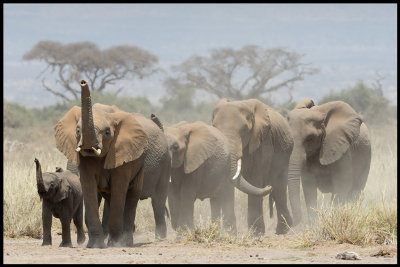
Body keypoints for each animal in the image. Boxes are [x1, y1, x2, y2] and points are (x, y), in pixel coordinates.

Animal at [55, 80, 148, 249]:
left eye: (107, 133)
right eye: (77, 131)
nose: (83, 82)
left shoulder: (121, 155)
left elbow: (119, 187)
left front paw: (116, 244)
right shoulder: (83, 160)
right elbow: (88, 187)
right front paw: (94, 245)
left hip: (140, 164)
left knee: (131, 195)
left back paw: (125, 243)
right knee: (111, 198)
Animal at [212, 99, 294, 237]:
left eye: (244, 129)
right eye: (214, 127)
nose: (268, 186)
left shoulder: (263, 140)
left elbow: (255, 178)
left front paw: (256, 233)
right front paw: (230, 233)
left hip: (285, 153)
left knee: (279, 188)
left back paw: (282, 231)